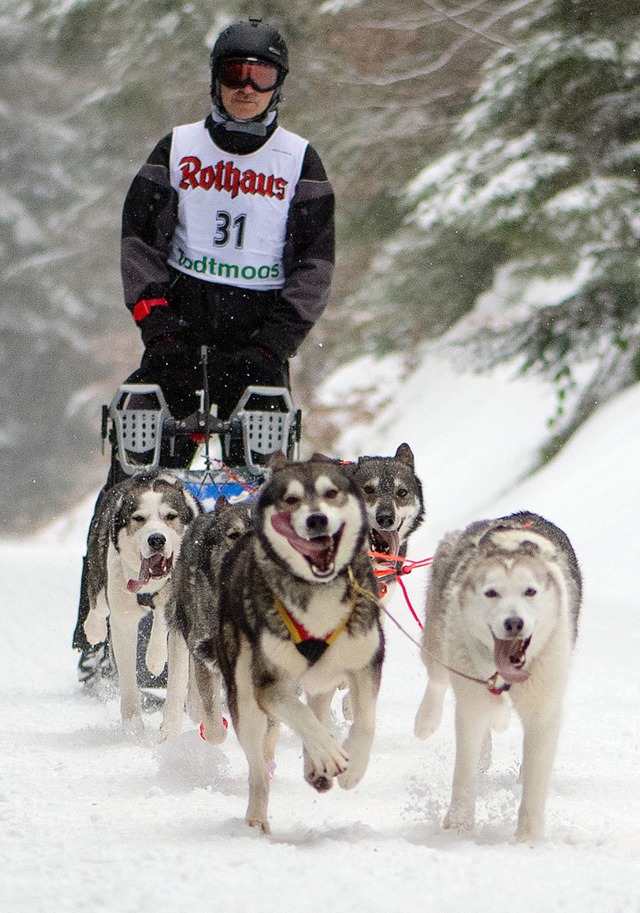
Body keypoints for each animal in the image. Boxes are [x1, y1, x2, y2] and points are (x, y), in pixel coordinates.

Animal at [83, 470, 200, 728]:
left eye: (170, 516)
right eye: (138, 518)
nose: (156, 539)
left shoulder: (176, 612)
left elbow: (177, 680)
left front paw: (169, 731)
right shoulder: (123, 620)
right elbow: (128, 683)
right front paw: (133, 728)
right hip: (100, 573)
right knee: (98, 607)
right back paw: (94, 629)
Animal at [215, 452, 384, 832]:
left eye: (331, 493)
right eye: (291, 500)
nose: (316, 519)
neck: (318, 590)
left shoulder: (364, 662)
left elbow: (365, 721)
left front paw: (353, 767)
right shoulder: (268, 685)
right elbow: (303, 719)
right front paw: (330, 752)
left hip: (323, 677)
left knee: (317, 707)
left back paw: (315, 767)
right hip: (245, 697)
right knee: (259, 769)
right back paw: (256, 818)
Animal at [412, 510, 584, 836]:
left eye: (530, 591)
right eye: (491, 593)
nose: (514, 622)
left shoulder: (544, 710)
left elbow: (535, 777)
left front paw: (528, 837)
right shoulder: (471, 701)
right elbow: (464, 768)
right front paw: (459, 824)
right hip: (440, 640)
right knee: (438, 679)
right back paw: (427, 720)